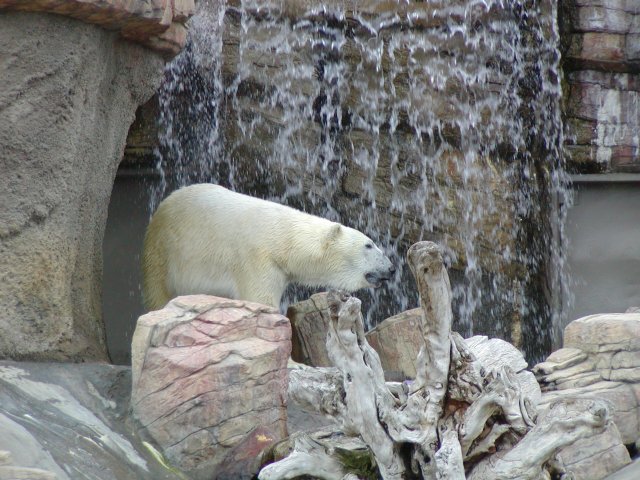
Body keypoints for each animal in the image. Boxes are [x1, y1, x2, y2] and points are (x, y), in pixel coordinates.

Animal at [142, 184, 395, 311]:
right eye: (369, 244)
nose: (392, 268)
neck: (283, 237)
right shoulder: (256, 259)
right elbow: (261, 301)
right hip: (164, 252)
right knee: (158, 291)